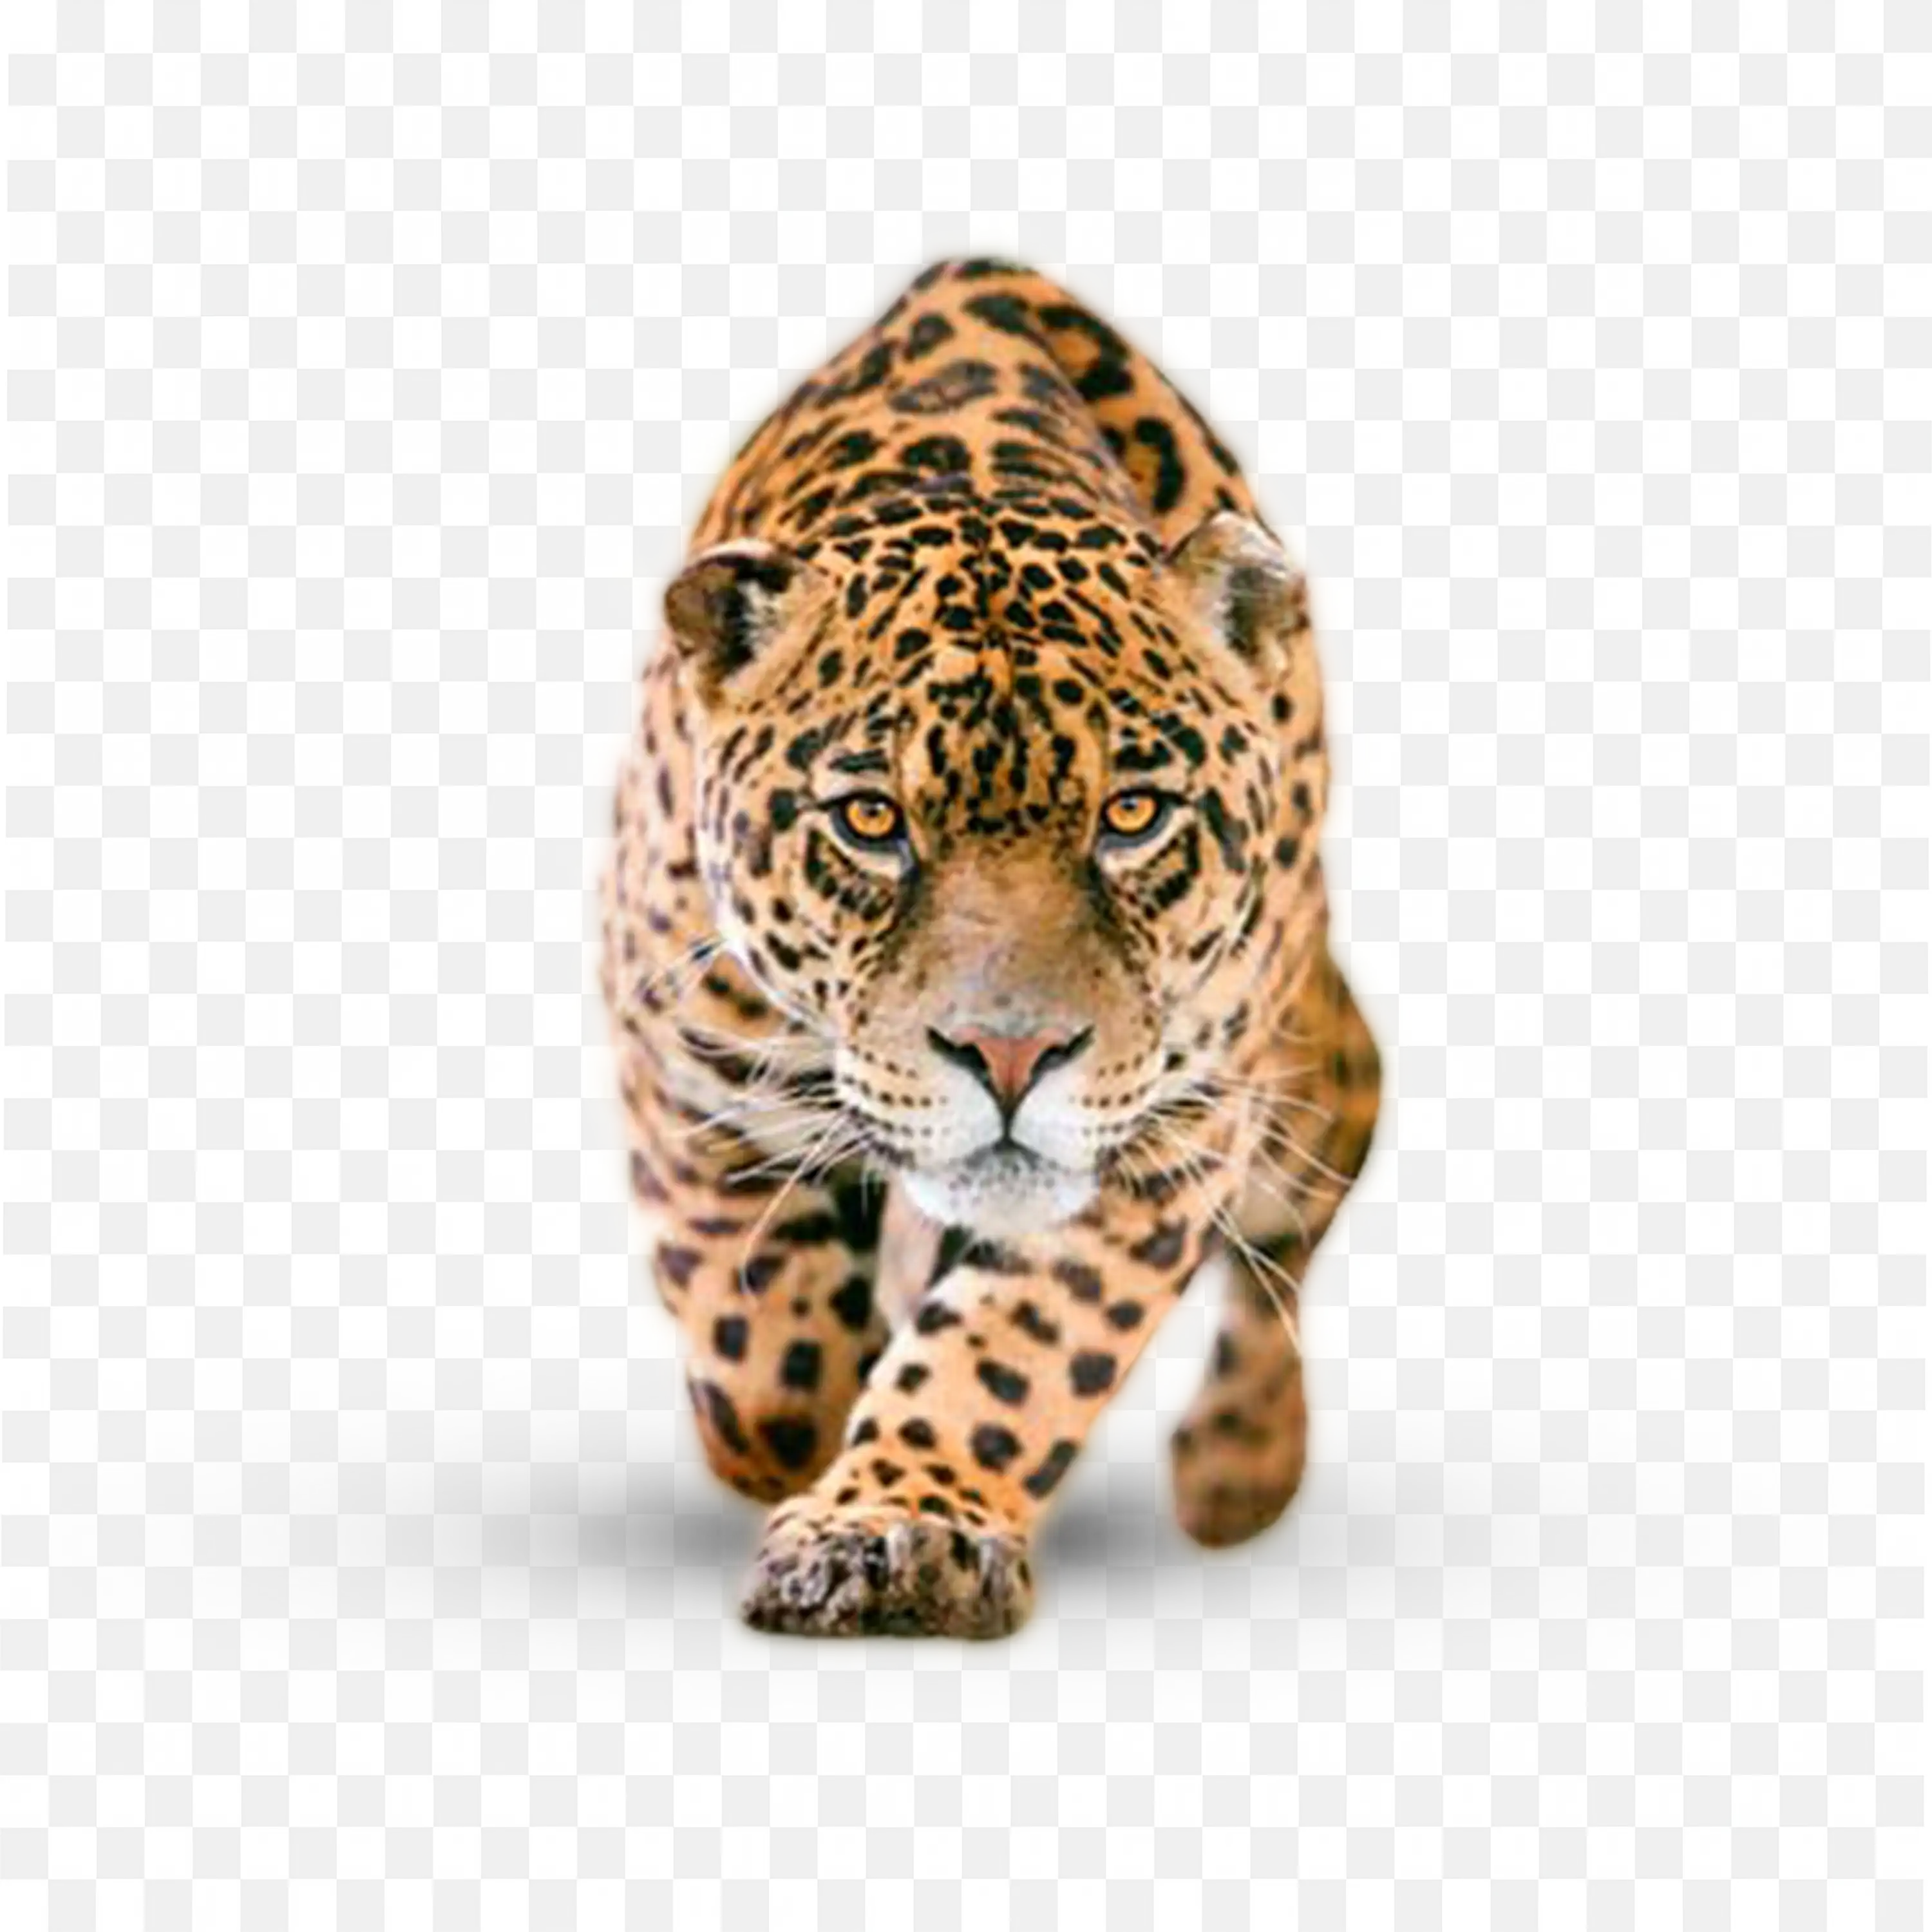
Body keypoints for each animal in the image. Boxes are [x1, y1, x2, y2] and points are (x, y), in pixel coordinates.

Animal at [600, 257, 1382, 1636]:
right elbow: (765, 1365)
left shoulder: (1171, 1137)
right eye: (871, 820)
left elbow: (1015, 1351)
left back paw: (1240, 1465)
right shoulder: (683, 1068)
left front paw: (898, 1527)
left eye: (1134, 815)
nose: (1010, 1059)